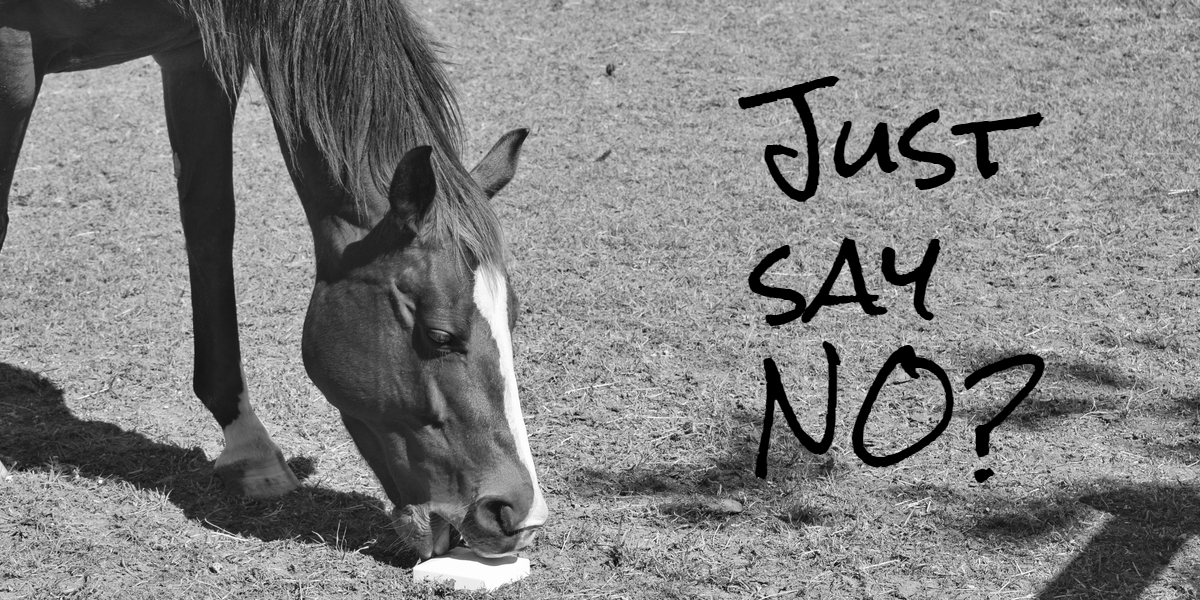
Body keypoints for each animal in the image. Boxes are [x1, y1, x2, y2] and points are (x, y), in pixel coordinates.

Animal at [0, 0, 547, 559]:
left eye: (514, 322)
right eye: (438, 335)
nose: (518, 515)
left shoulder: (195, 54)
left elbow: (210, 225)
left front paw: (250, 448)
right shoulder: (13, 57)